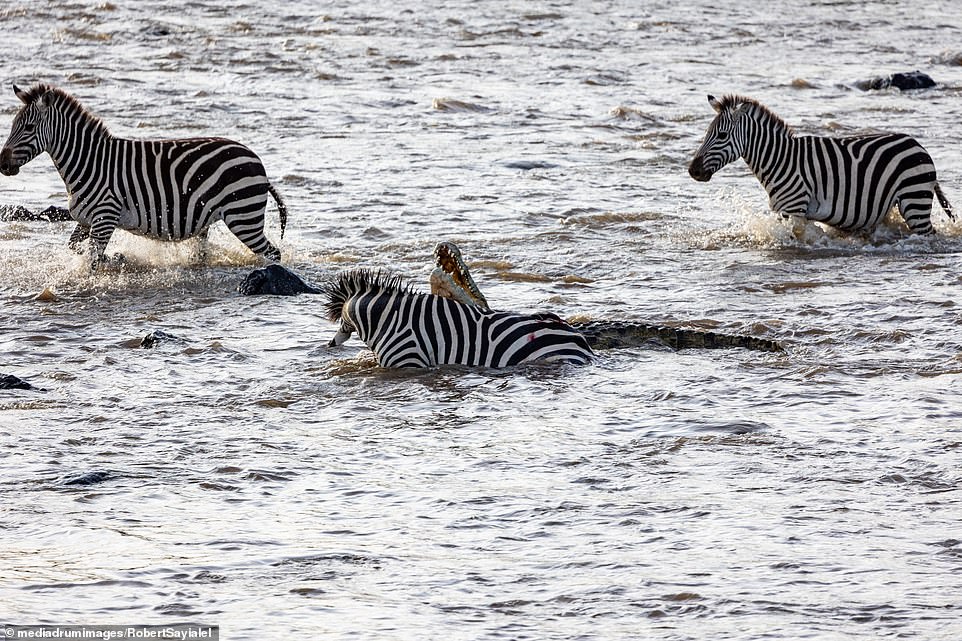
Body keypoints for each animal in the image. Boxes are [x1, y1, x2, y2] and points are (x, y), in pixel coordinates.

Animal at [0, 84, 286, 264]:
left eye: (28, 128)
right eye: (12, 125)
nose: (2, 164)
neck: (89, 162)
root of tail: (255, 159)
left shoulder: (105, 218)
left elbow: (93, 261)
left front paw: (109, 263)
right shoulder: (86, 220)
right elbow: (75, 247)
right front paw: (115, 259)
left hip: (243, 216)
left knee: (273, 253)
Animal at [688, 94, 948, 234]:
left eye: (721, 136)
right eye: (707, 133)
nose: (693, 171)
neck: (779, 160)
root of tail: (917, 144)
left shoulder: (793, 210)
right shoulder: (783, 213)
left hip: (914, 200)